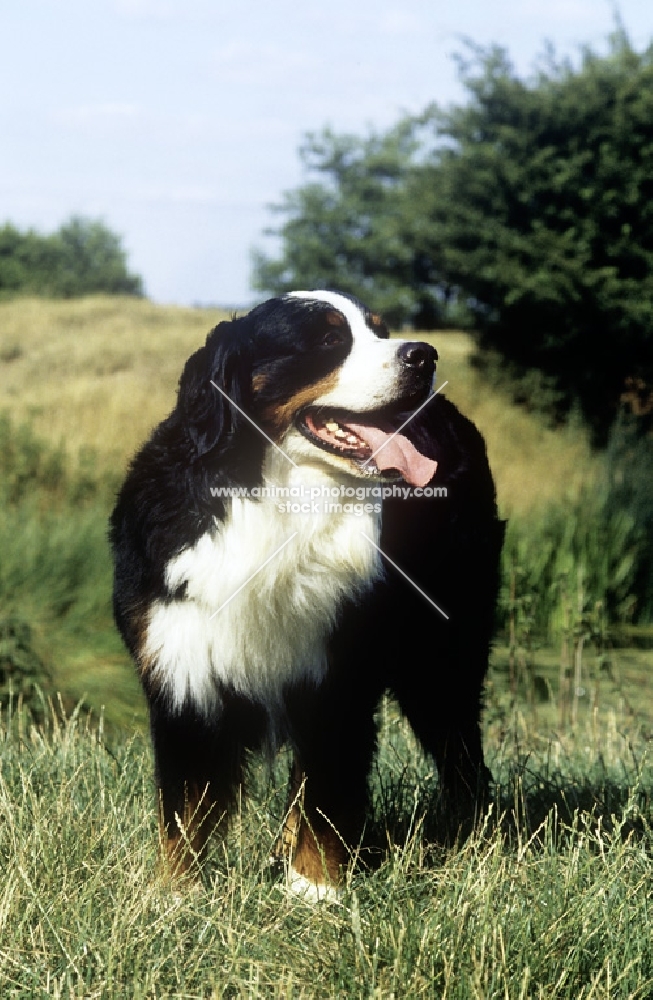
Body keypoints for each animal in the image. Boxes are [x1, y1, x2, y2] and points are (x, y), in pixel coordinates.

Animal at [109, 290, 502, 900]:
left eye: (380, 330)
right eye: (328, 340)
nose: (424, 355)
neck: (278, 497)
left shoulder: (338, 670)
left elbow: (325, 789)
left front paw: (314, 889)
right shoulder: (181, 666)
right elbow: (185, 801)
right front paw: (176, 894)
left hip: (441, 657)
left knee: (461, 755)